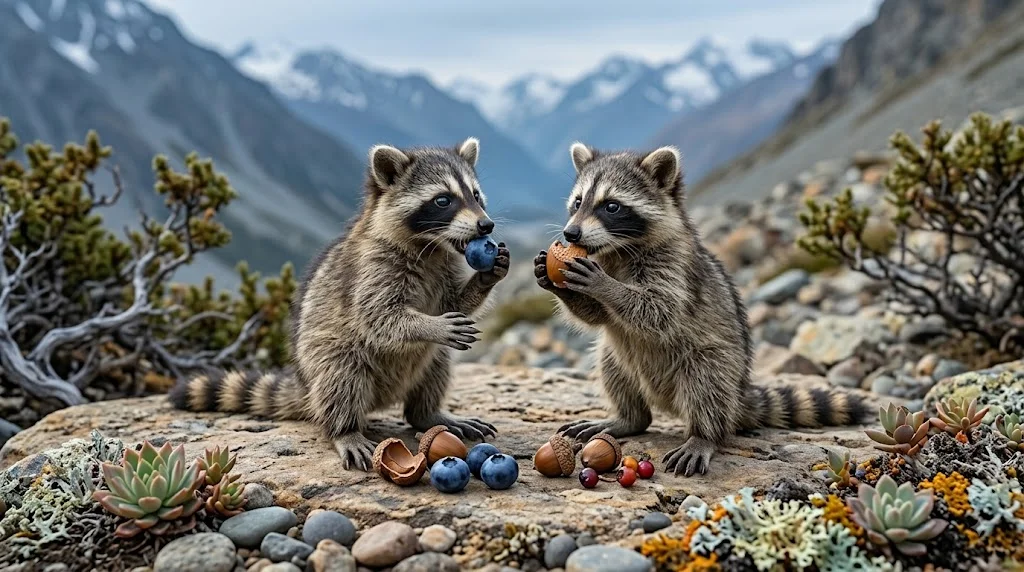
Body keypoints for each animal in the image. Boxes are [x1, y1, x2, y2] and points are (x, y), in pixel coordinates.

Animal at [171, 138, 507, 470]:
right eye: (443, 200)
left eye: (476, 195)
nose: (486, 225)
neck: (431, 246)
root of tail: (306, 387)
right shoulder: (372, 269)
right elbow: (380, 317)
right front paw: (430, 325)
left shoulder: (443, 269)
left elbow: (453, 302)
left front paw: (484, 278)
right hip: (326, 357)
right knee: (342, 376)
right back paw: (345, 429)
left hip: (424, 363)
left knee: (436, 364)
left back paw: (428, 413)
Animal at [535, 143, 866, 476]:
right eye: (578, 201)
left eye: (612, 206)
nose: (571, 234)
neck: (618, 249)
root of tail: (739, 395)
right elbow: (599, 316)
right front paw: (558, 285)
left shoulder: (674, 266)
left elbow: (657, 310)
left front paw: (605, 285)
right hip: (621, 358)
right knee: (612, 364)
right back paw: (628, 418)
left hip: (717, 364)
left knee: (706, 380)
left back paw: (703, 435)